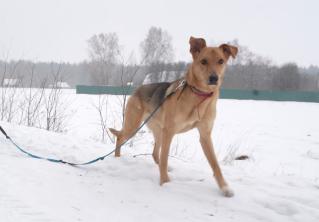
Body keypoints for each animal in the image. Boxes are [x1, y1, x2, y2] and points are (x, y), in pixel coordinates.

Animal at [110, 36, 238, 198]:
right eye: (203, 61)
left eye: (221, 61)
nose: (214, 78)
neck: (198, 96)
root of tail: (138, 88)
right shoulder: (170, 132)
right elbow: (165, 158)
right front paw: (165, 183)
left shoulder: (205, 135)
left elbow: (215, 165)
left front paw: (224, 187)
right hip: (135, 126)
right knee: (120, 137)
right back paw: (117, 158)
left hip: (159, 131)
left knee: (154, 153)